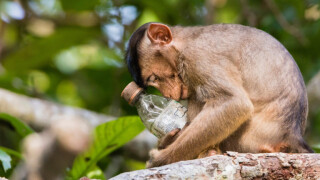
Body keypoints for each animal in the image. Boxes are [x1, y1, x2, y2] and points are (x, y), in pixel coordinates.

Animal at [124, 22, 312, 167]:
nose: (168, 94)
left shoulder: (196, 57)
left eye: (154, 78)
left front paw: (161, 158)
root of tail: (293, 134)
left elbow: (235, 103)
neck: (184, 43)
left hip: (247, 140)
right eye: (152, 83)